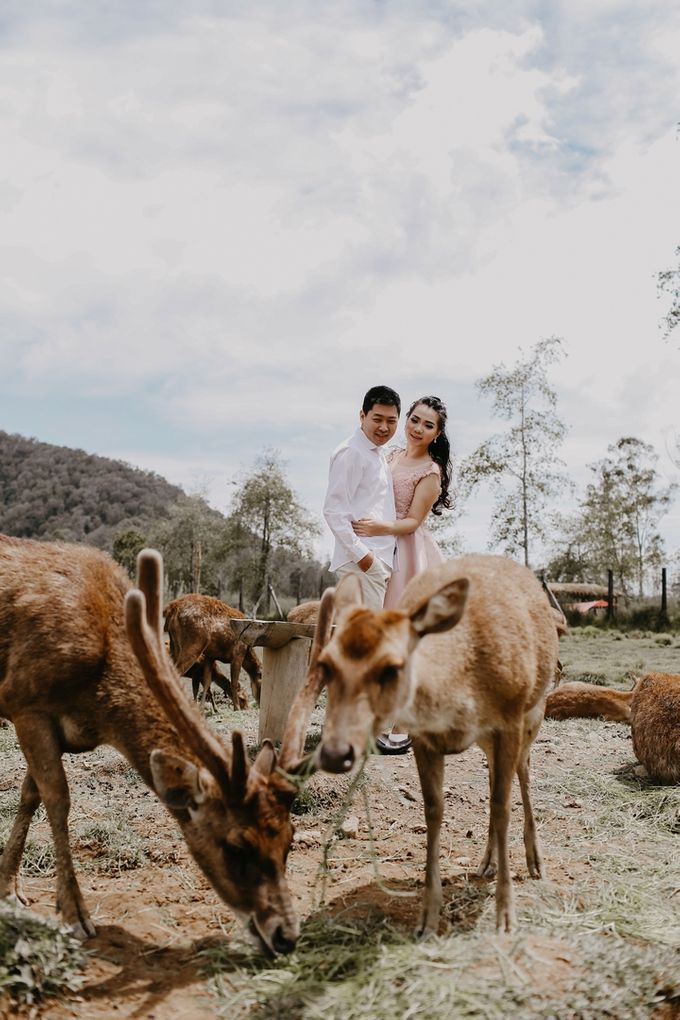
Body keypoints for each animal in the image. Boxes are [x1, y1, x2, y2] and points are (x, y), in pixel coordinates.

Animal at [0, 538, 332, 950]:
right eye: (237, 846)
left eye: (290, 839)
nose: (285, 935)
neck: (100, 705)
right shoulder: (25, 702)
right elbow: (58, 800)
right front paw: (74, 914)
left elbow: (30, 796)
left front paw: (9, 890)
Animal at [311, 554, 558, 934]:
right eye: (325, 664)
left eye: (392, 667)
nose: (335, 753)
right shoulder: (423, 738)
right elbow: (434, 811)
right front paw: (427, 917)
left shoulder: (510, 719)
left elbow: (503, 807)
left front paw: (505, 915)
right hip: (490, 739)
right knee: (494, 778)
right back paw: (486, 862)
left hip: (534, 712)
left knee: (524, 773)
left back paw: (535, 863)